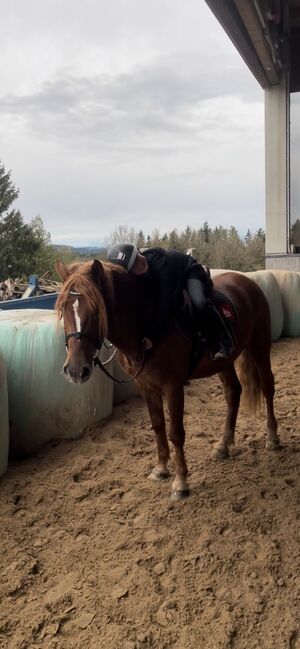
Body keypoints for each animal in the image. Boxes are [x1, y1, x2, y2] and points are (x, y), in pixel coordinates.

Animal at [55, 258, 278, 496]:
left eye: (96, 310)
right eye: (62, 310)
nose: (76, 370)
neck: (145, 324)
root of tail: (247, 282)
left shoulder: (173, 386)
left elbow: (176, 432)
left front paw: (181, 482)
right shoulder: (145, 386)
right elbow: (158, 425)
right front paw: (161, 469)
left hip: (259, 346)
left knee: (267, 386)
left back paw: (273, 437)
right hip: (224, 361)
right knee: (233, 393)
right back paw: (223, 445)